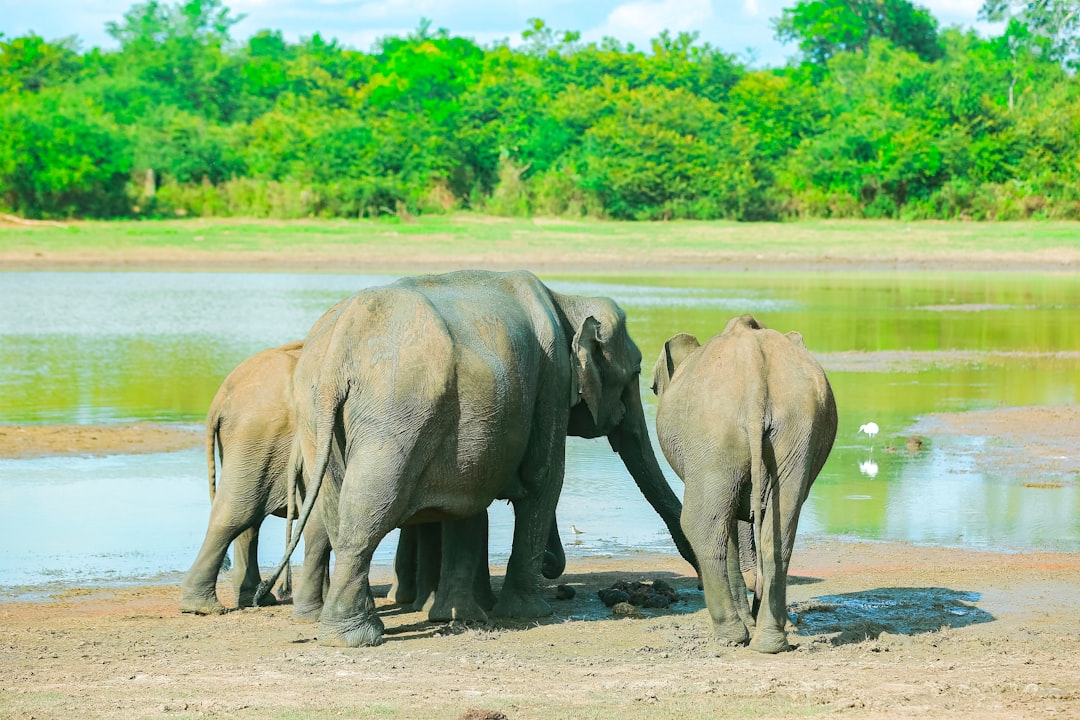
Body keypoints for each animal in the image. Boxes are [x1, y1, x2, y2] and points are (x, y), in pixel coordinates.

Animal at [178, 341, 333, 618]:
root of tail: (220, 397)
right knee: (237, 513)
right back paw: (203, 608)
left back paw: (255, 598)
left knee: (250, 518)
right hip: (257, 436)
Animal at [257, 269, 696, 647]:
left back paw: (352, 629)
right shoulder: (552, 380)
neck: (566, 299)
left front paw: (467, 613)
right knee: (369, 506)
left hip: (317, 416)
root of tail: (339, 349)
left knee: (336, 507)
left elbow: (470, 495)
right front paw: (527, 613)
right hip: (395, 411)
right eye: (635, 374)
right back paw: (356, 637)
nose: (694, 572)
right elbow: (543, 479)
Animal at [650, 314, 837, 653]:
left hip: (711, 431)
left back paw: (732, 635)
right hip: (797, 427)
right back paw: (769, 642)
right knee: (779, 530)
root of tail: (754, 371)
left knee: (705, 525)